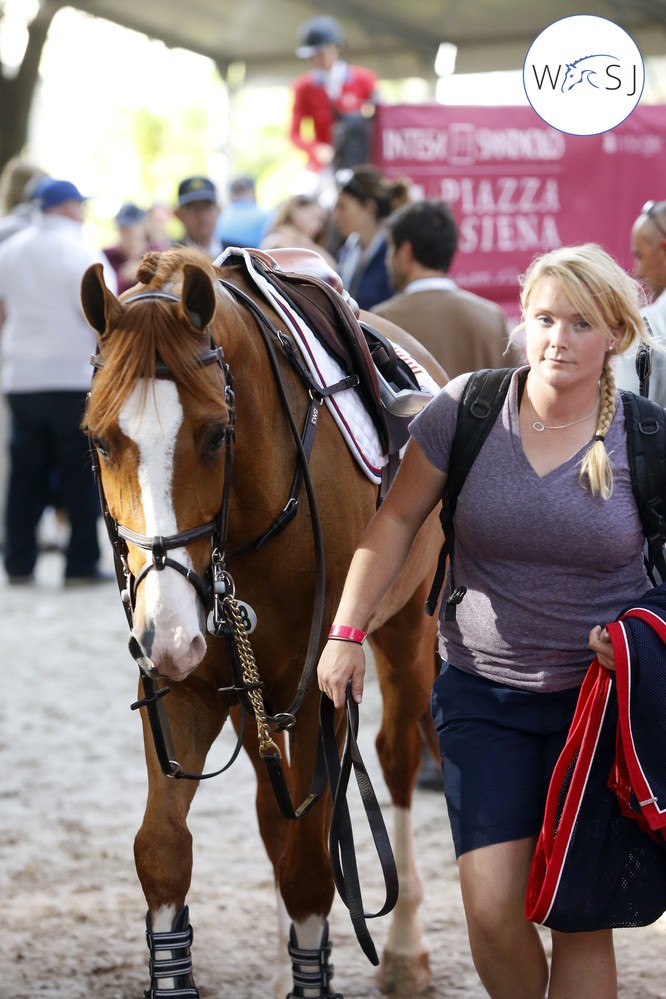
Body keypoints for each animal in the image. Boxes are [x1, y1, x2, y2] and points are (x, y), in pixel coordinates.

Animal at [81, 248, 446, 999]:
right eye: (101, 441)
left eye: (216, 433)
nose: (170, 634)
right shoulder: (185, 689)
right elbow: (163, 851)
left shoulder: (314, 697)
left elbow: (310, 869)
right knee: (271, 813)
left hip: (403, 637)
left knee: (395, 760)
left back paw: (403, 948)